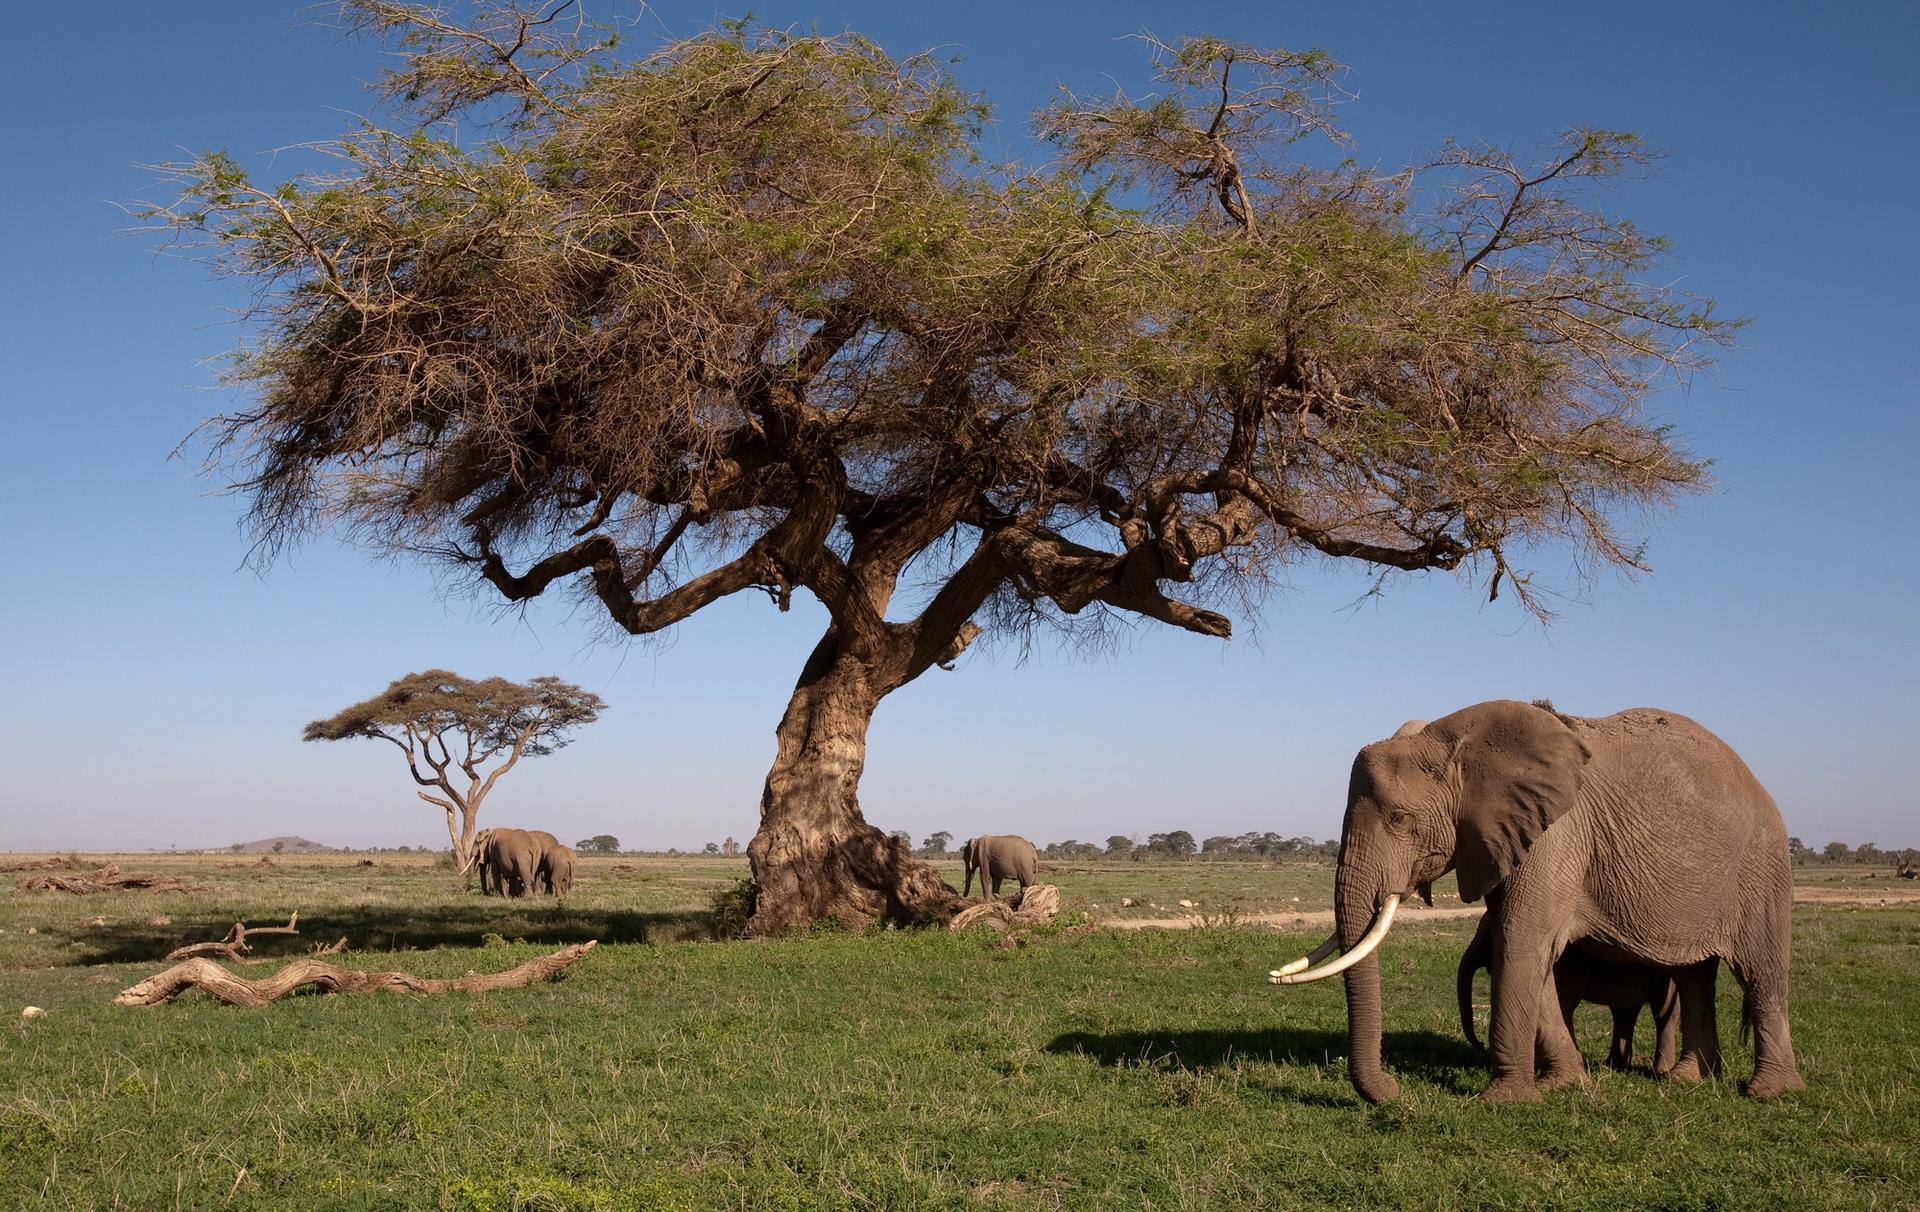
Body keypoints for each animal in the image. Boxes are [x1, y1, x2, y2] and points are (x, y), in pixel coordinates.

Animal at [1457, 902, 1687, 1076]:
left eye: (1489, 939)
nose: (1481, 1045)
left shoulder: (1570, 965)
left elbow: (1565, 1005)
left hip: (1665, 975)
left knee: (1661, 1013)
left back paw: (1660, 1071)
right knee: (1624, 1013)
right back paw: (1613, 1066)